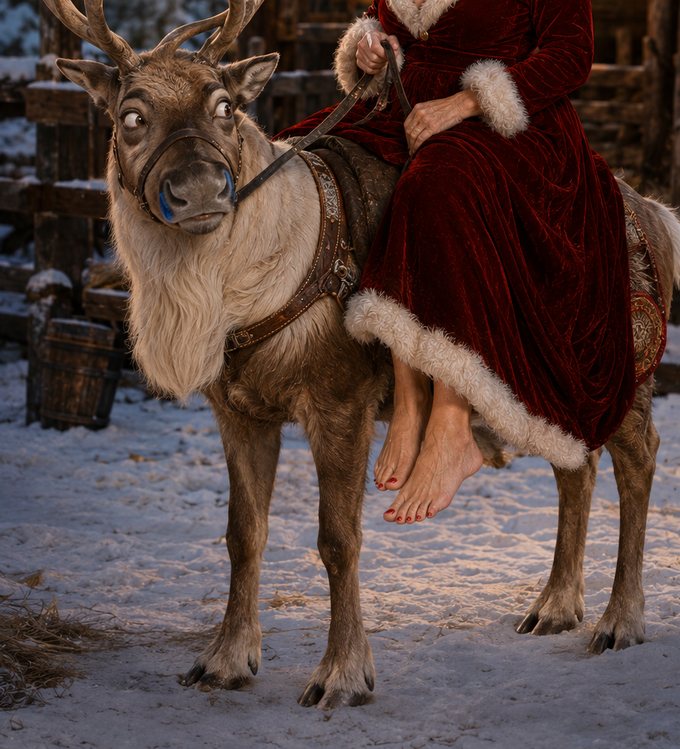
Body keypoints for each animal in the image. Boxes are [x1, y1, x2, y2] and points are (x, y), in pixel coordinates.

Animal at [44, 0, 680, 708]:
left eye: (224, 106)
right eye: (131, 115)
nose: (201, 191)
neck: (246, 291)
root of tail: (655, 214)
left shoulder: (339, 401)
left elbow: (338, 539)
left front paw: (342, 674)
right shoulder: (238, 411)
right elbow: (242, 535)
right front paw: (225, 659)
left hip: (627, 372)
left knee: (638, 460)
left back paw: (619, 620)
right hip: (560, 386)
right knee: (576, 465)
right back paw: (554, 607)